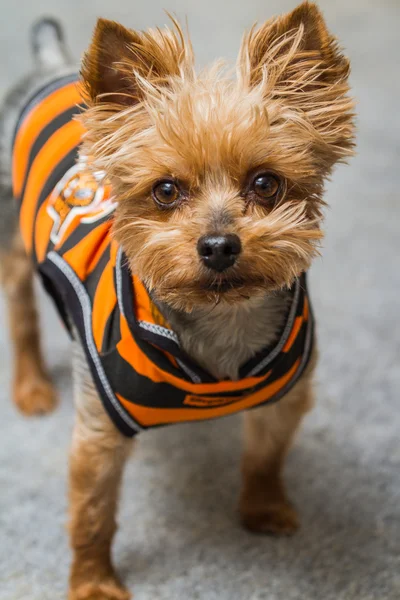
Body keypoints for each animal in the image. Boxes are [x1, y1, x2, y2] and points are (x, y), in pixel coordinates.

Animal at [0, 2, 356, 596]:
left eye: (266, 184)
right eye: (166, 191)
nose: (218, 245)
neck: (222, 318)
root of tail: (50, 66)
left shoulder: (286, 397)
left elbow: (266, 457)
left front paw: (262, 509)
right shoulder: (98, 429)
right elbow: (92, 514)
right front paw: (93, 583)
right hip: (15, 243)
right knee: (22, 314)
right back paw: (30, 388)